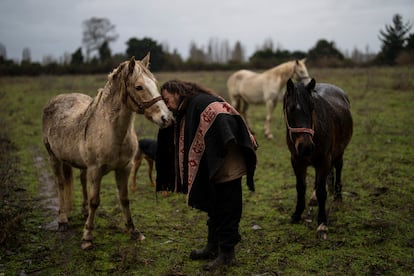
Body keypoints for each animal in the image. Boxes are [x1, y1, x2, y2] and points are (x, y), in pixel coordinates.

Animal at [41, 54, 171, 250]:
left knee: (81, 180)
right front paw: (87, 237)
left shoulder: (125, 168)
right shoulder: (96, 170)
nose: (166, 118)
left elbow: (124, 199)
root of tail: (55, 100)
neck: (112, 132)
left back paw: (83, 211)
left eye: (154, 83)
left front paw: (134, 231)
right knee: (60, 184)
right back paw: (63, 220)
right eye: (138, 87)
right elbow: (95, 201)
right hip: (54, 157)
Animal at [284, 78, 352, 238]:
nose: (306, 146)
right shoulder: (296, 161)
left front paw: (322, 223)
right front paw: (297, 215)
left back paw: (338, 198)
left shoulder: (324, 160)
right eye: (290, 109)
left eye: (312, 108)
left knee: (338, 168)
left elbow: (322, 192)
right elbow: (300, 187)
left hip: (339, 152)